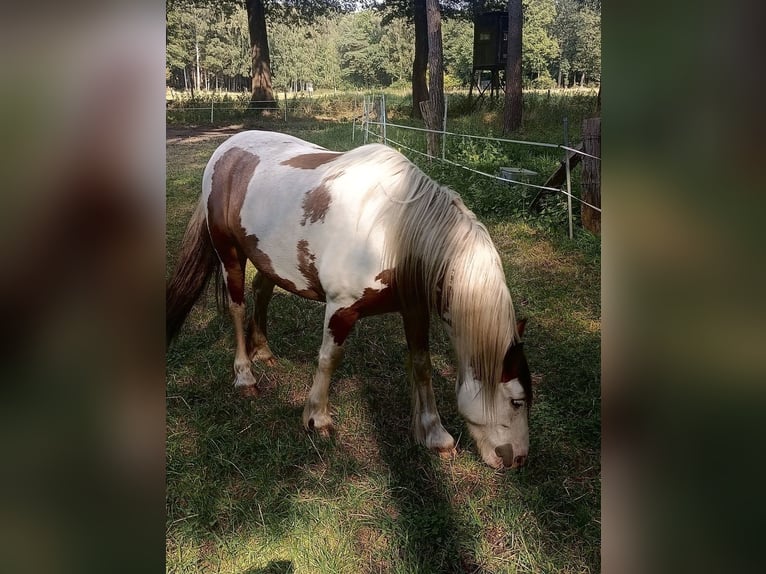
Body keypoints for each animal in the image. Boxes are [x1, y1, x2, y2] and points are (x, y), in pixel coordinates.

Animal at [166, 130, 532, 469]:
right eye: (517, 401)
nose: (518, 459)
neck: (393, 231)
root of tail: (225, 150)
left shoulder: (414, 309)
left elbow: (422, 365)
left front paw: (435, 436)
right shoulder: (341, 308)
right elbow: (329, 358)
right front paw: (318, 419)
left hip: (268, 259)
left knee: (262, 291)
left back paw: (265, 352)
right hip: (229, 253)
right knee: (237, 306)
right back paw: (245, 376)